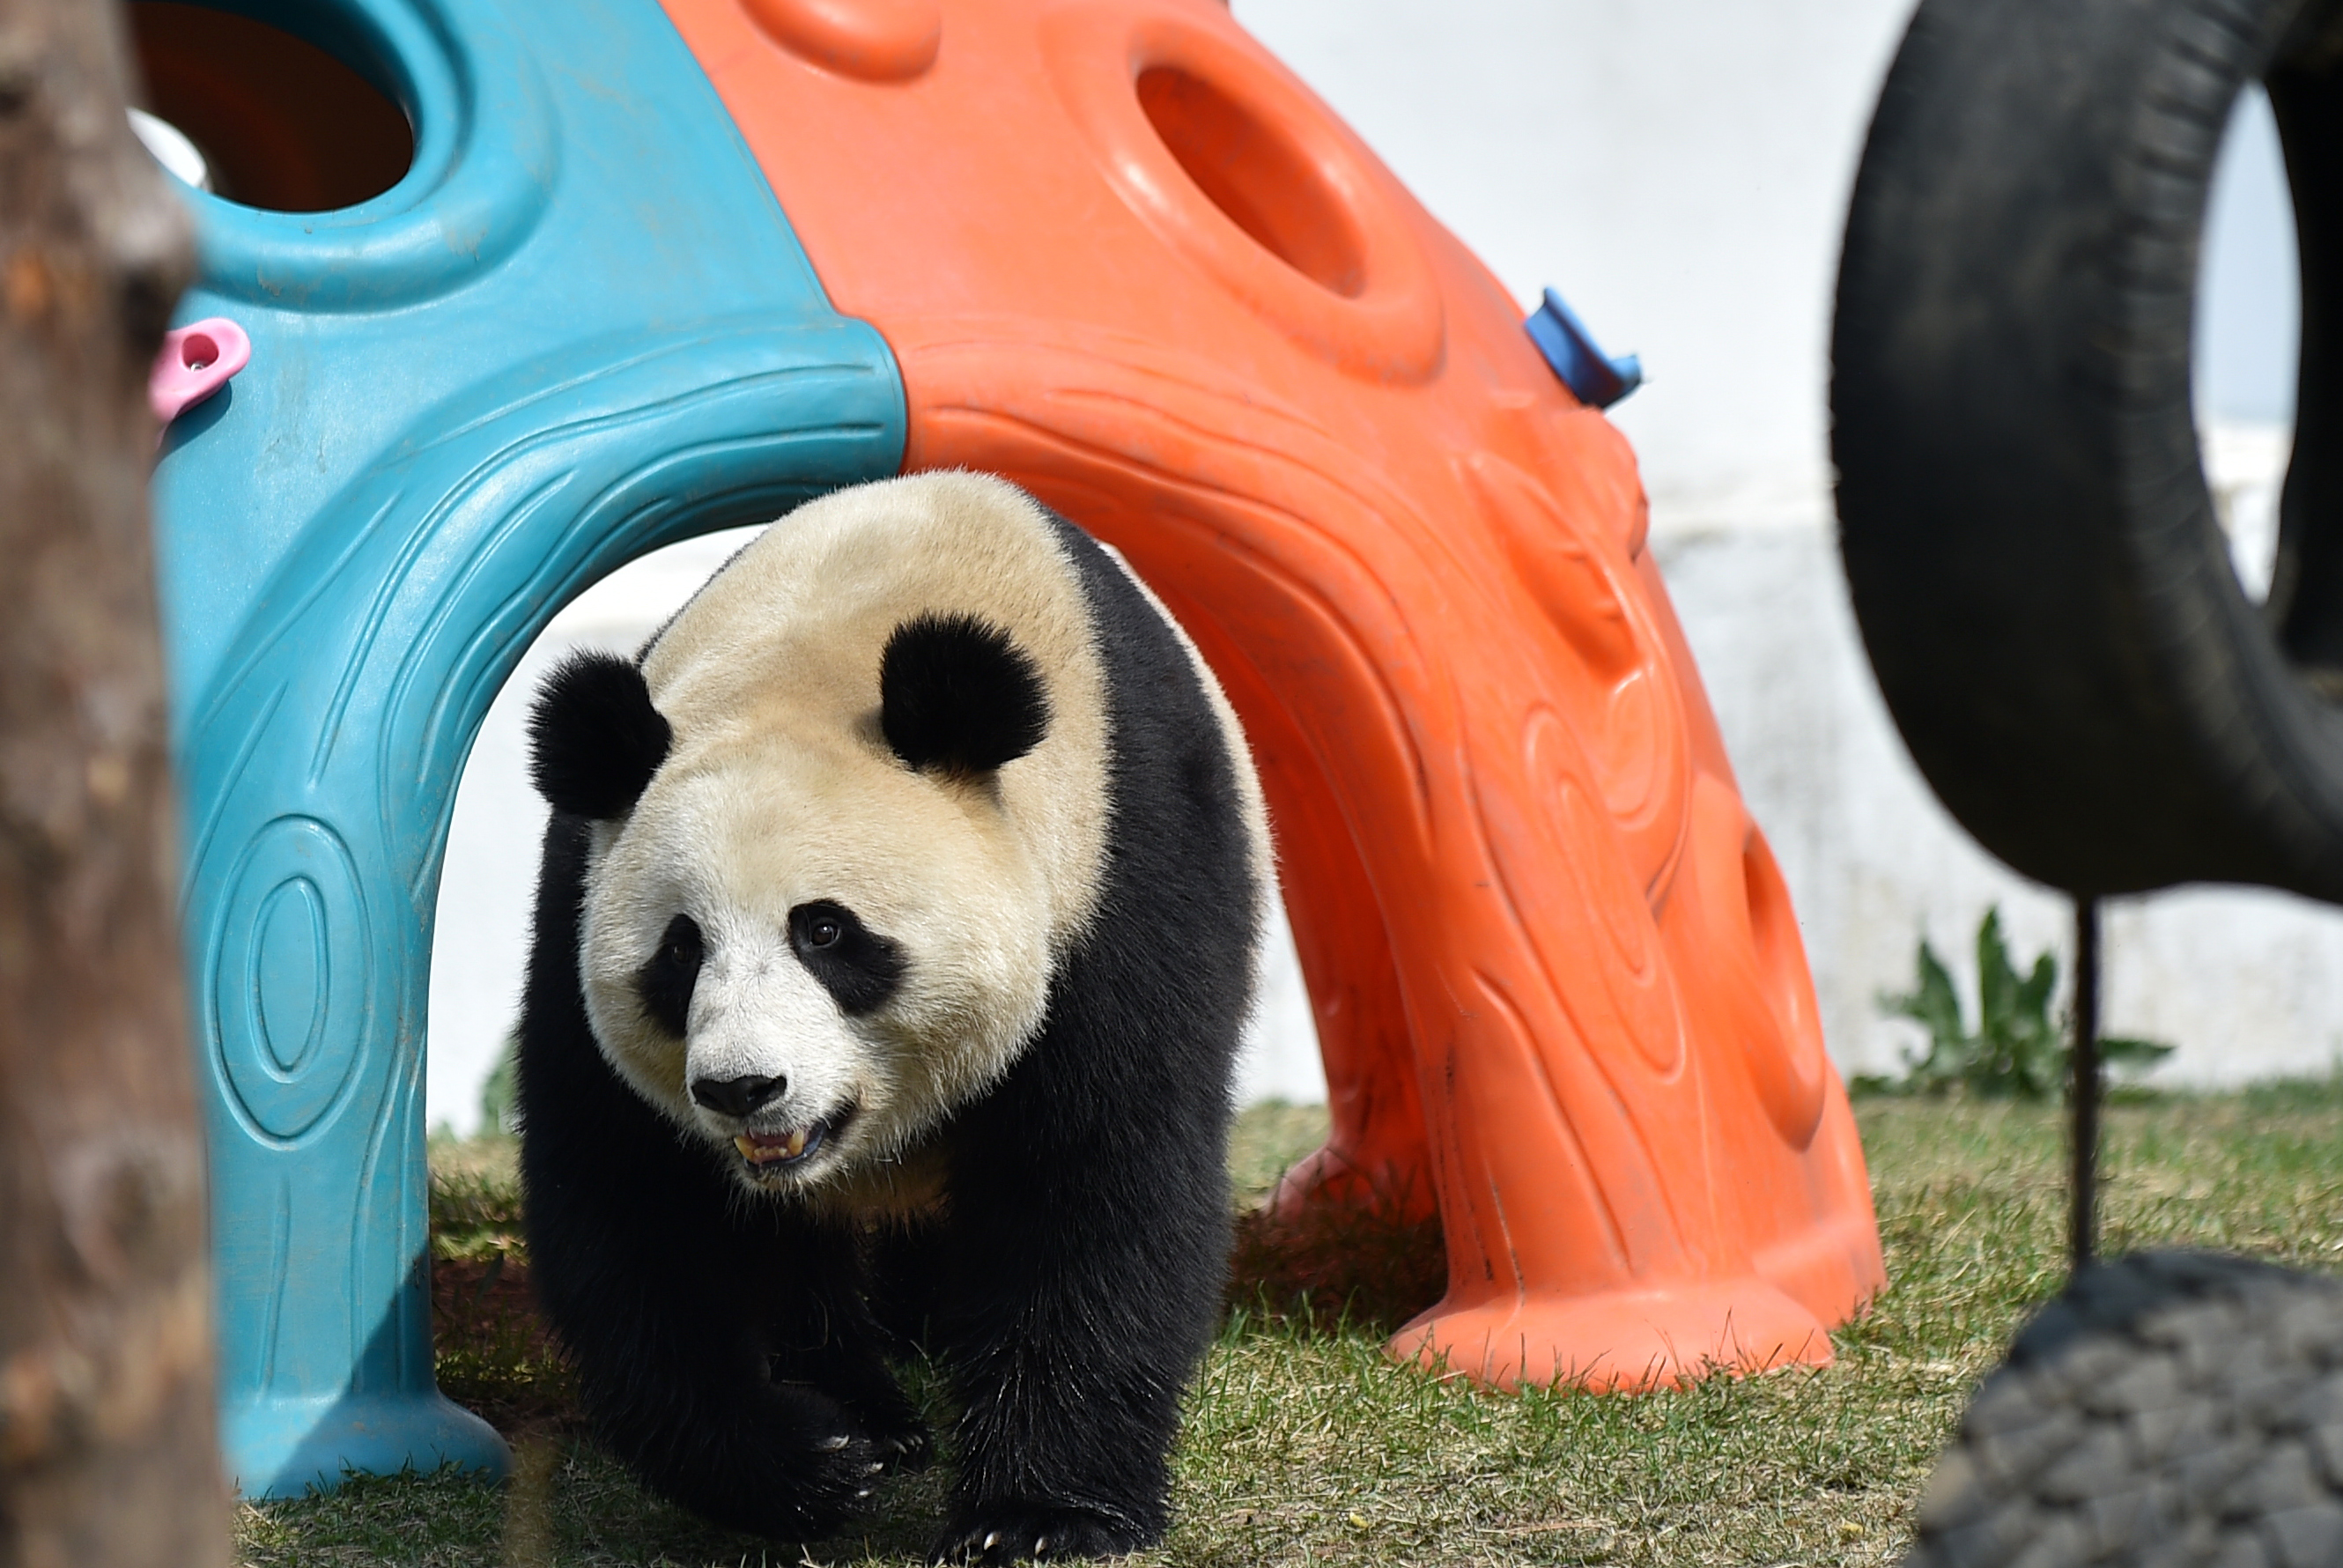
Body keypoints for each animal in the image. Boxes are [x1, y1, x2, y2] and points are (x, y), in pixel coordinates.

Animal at [513, 470, 1275, 1556]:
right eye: (680, 950)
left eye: (826, 932)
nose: (744, 1089)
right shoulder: (582, 897)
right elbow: (630, 1208)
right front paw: (812, 1463)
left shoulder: (1117, 877)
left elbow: (1096, 1182)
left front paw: (1036, 1517)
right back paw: (872, 1409)